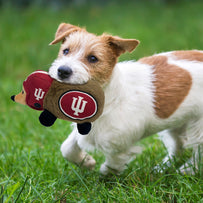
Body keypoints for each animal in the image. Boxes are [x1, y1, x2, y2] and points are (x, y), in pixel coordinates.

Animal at [48, 22, 202, 174]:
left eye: (93, 58)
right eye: (66, 51)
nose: (63, 71)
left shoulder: (119, 147)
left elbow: (110, 167)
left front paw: (103, 176)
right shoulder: (84, 130)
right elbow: (67, 148)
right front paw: (87, 162)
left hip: (198, 127)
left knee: (198, 151)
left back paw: (188, 170)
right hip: (176, 122)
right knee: (178, 145)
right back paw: (162, 168)